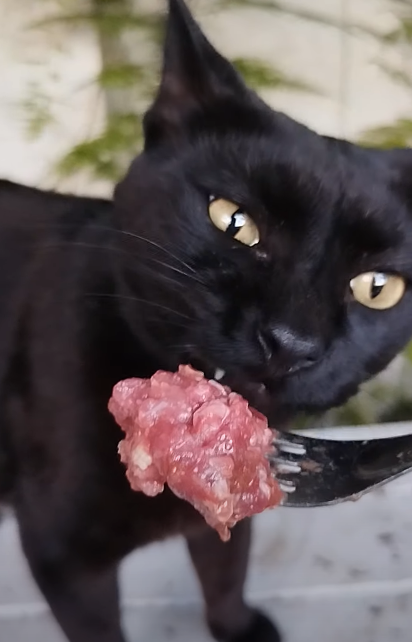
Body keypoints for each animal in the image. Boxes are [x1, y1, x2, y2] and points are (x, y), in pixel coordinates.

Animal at [2, 1, 412, 641]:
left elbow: (225, 562)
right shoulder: (62, 555)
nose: (290, 341)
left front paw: (236, 626)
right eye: (233, 221)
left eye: (378, 288)